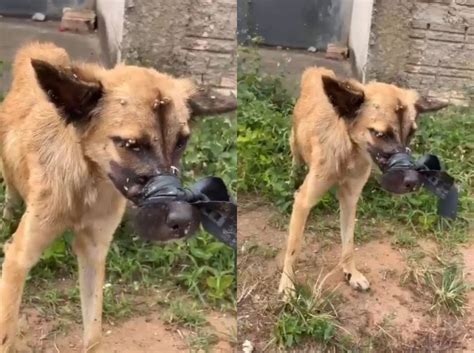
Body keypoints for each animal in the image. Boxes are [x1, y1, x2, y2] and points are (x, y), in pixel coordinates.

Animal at [0, 42, 236, 350]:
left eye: (181, 142)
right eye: (131, 144)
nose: (184, 219)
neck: (87, 182)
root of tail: (41, 48)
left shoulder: (93, 252)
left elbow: (94, 332)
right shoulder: (18, 259)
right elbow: (6, 334)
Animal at [278, 67, 444, 296]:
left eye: (411, 133)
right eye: (380, 134)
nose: (413, 181)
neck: (349, 152)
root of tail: (317, 70)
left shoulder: (349, 200)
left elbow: (348, 243)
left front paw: (351, 273)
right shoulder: (304, 202)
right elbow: (293, 247)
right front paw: (287, 284)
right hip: (295, 142)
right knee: (295, 158)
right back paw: (292, 177)